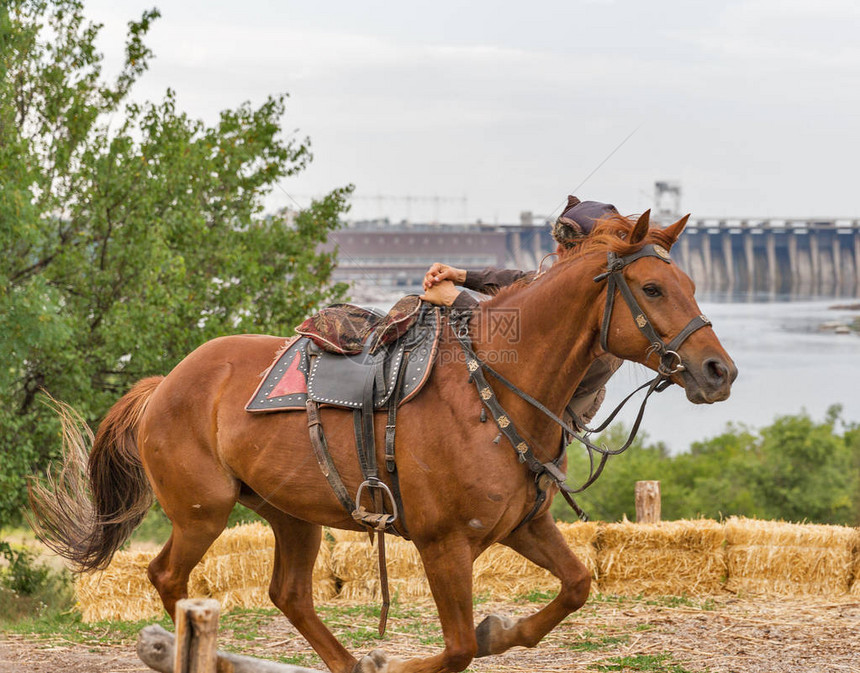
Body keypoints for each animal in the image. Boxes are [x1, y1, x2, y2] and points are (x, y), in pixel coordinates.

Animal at [30, 211, 736, 672]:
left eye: (691, 285)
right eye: (652, 288)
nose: (718, 371)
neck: (494, 389)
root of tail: (165, 385)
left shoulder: (522, 526)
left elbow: (576, 585)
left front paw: (500, 629)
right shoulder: (444, 544)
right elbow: (456, 648)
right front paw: (422, 656)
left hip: (290, 514)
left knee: (288, 593)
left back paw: (345, 663)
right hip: (202, 511)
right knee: (168, 576)